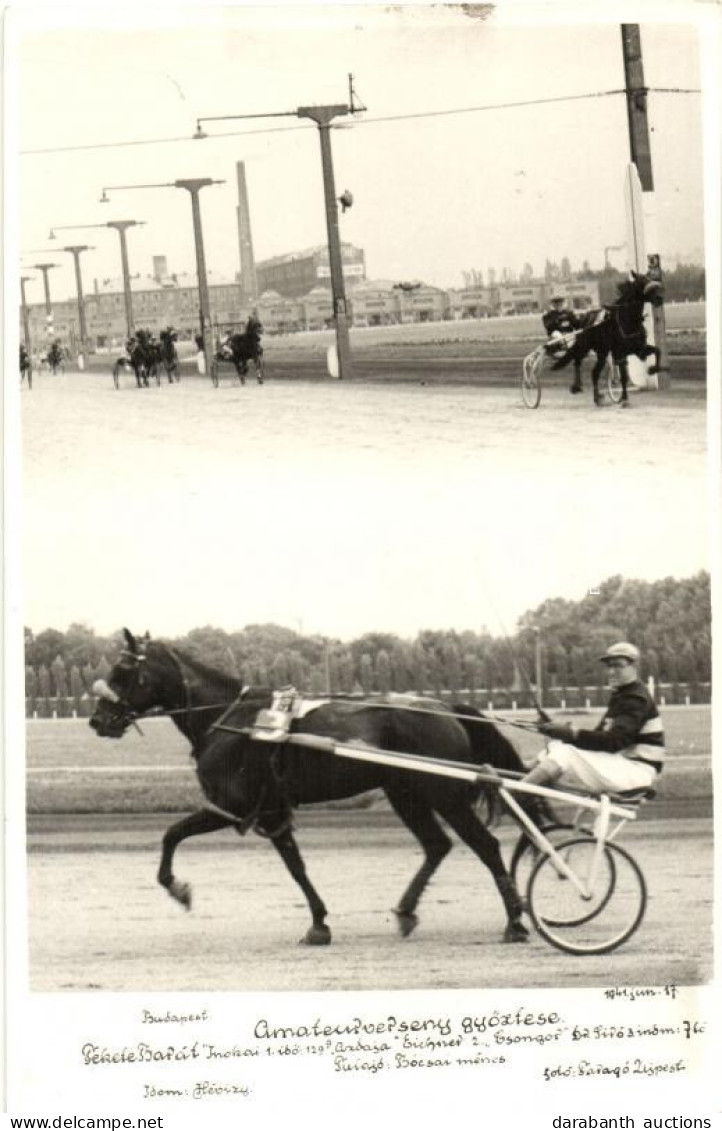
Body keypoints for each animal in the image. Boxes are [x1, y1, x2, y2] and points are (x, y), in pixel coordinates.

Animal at [89, 628, 543, 945]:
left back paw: (514, 923)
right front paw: (319, 925)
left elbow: (171, 834)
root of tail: (446, 707)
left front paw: (178, 889)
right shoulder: (271, 809)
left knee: (484, 845)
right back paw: (406, 911)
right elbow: (296, 867)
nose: (98, 720)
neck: (231, 719)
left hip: (442, 792)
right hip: (405, 793)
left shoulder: (231, 804)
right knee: (436, 845)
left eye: (123, 671)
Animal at [552, 272, 665, 407]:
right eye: (641, 282)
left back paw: (597, 398)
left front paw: (653, 369)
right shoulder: (621, 354)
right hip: (586, 347)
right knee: (577, 360)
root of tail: (584, 319)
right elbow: (623, 377)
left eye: (649, 278)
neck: (628, 320)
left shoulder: (639, 349)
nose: (659, 298)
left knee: (594, 373)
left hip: (602, 352)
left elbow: (657, 350)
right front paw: (625, 399)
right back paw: (577, 387)